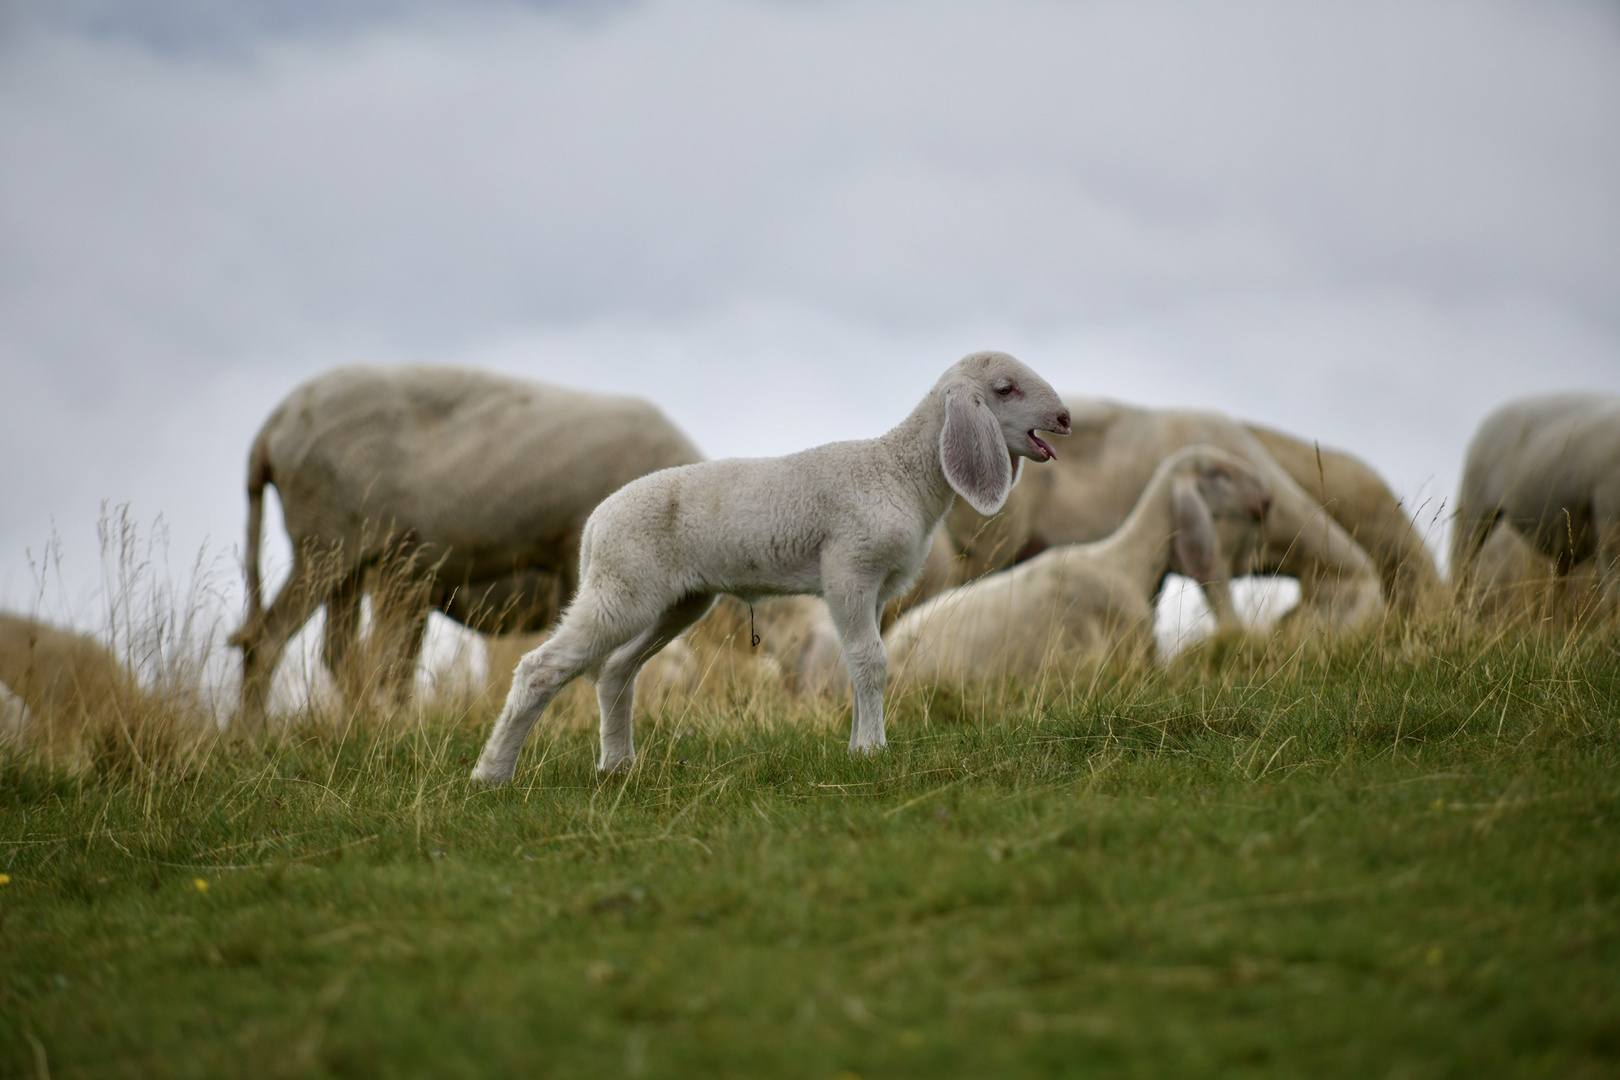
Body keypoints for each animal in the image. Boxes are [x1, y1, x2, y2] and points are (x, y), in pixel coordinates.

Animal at [473, 351, 1075, 780]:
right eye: (1005, 389)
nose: (1065, 418)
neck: (902, 470)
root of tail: (594, 526)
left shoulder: (877, 588)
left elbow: (857, 665)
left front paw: (857, 746)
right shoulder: (849, 570)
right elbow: (871, 661)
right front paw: (873, 751)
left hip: (679, 600)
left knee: (618, 669)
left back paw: (618, 766)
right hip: (621, 588)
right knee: (540, 668)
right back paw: (493, 775)